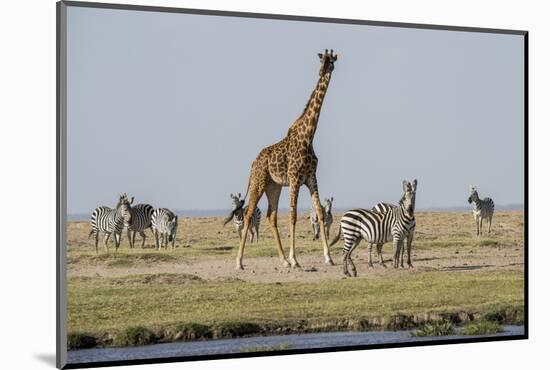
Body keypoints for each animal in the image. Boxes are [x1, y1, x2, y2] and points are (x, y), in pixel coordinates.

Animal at [235, 48, 338, 268]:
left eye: (331, 62)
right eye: (321, 61)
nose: (322, 72)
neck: (309, 136)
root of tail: (253, 163)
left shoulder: (311, 178)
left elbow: (320, 212)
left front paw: (328, 257)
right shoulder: (294, 178)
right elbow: (293, 215)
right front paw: (295, 259)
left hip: (273, 186)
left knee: (271, 216)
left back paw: (282, 260)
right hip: (258, 182)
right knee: (248, 214)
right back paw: (239, 261)